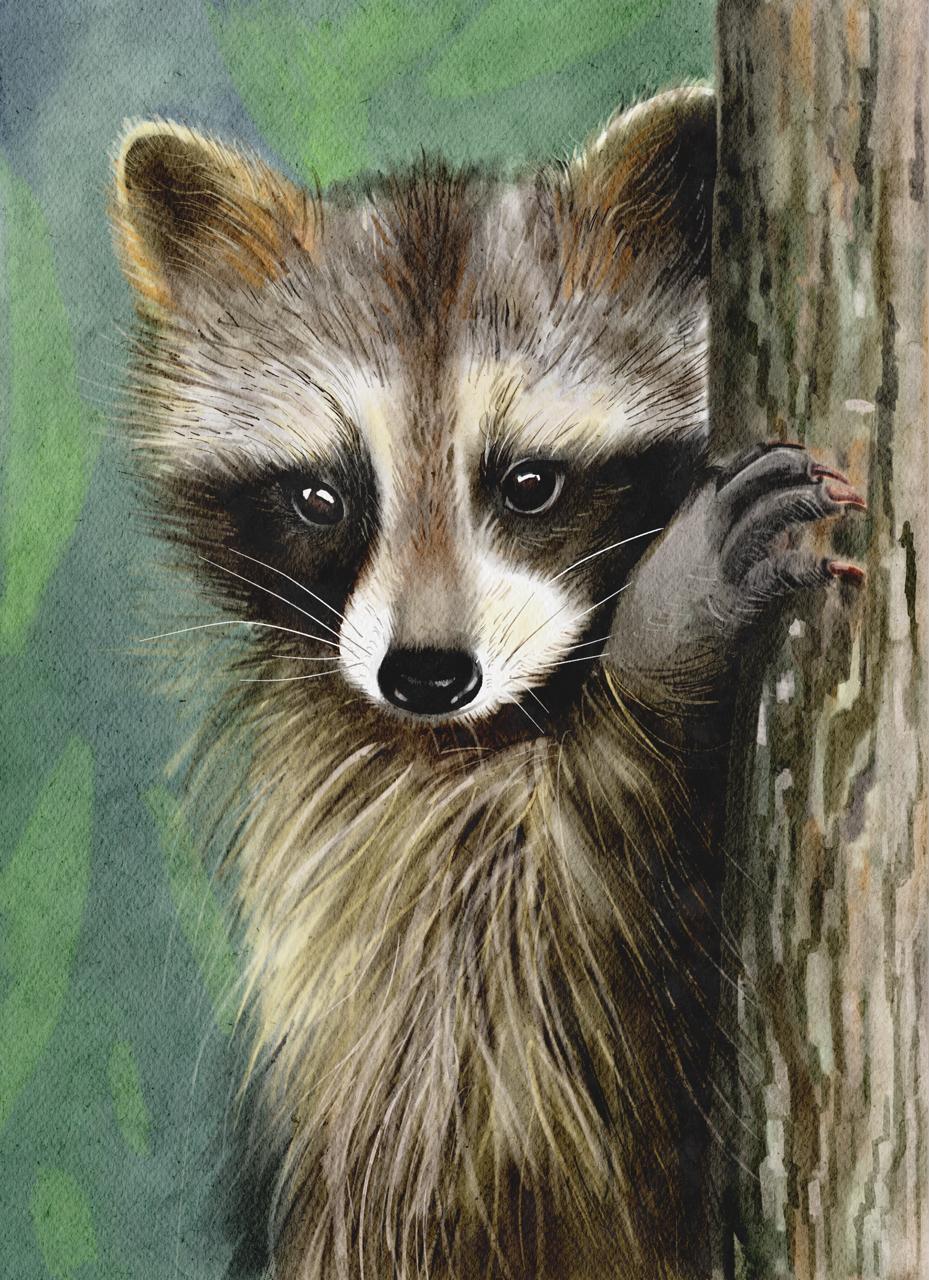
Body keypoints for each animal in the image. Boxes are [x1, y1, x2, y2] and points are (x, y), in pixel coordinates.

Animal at [110, 87, 864, 1279]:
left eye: (529, 483)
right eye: (322, 497)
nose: (426, 675)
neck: (522, 709)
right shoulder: (354, 815)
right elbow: (496, 1061)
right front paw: (665, 645)